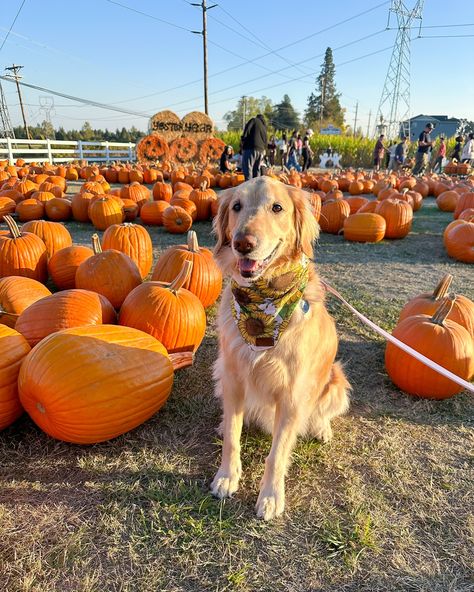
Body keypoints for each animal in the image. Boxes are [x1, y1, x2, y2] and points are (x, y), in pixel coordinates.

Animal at [210, 177, 348, 524]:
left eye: (277, 207)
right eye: (236, 206)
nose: (243, 243)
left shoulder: (292, 395)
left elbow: (277, 454)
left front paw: (271, 496)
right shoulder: (233, 377)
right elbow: (232, 438)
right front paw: (227, 476)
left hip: (337, 381)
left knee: (323, 412)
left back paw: (321, 428)